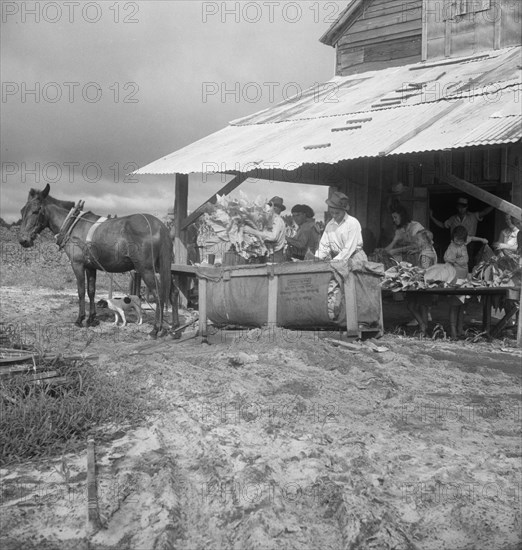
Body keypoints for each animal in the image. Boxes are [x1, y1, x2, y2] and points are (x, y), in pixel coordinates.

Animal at [18, 184, 179, 340]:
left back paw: (155, 329)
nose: (23, 240)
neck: (73, 224)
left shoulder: (77, 264)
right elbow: (91, 291)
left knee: (159, 294)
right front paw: (91, 319)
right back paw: (175, 327)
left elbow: (81, 291)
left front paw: (80, 319)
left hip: (146, 269)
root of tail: (161, 227)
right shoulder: (91, 267)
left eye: (36, 211)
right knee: (173, 292)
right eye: (22, 211)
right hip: (162, 267)